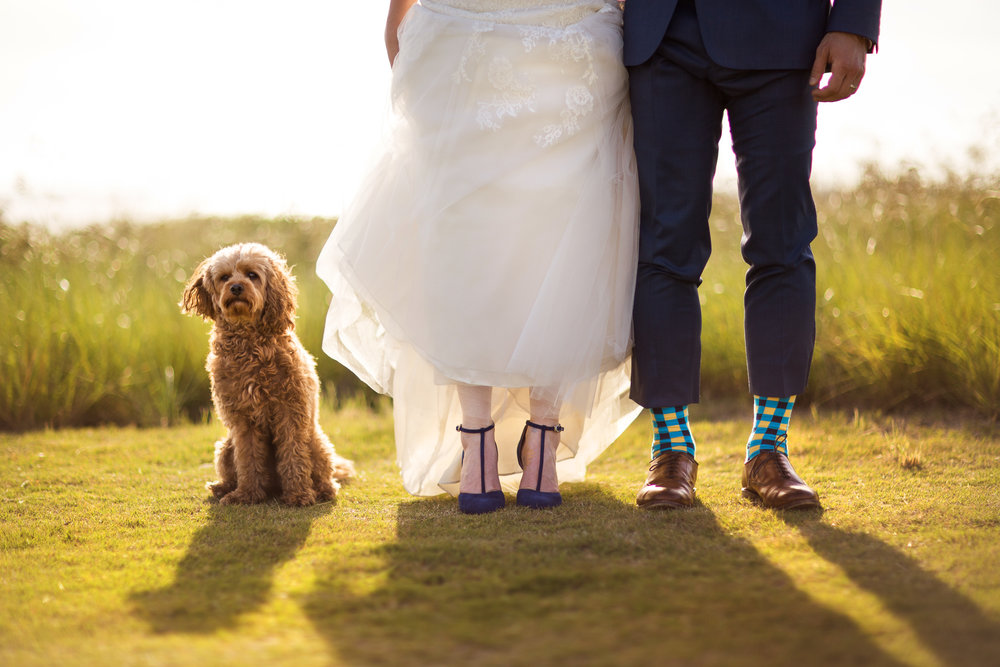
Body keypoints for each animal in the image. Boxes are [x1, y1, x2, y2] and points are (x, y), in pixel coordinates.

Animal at [182, 244, 354, 506]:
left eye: (252, 275)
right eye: (224, 277)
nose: (236, 287)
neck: (248, 342)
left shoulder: (290, 410)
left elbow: (294, 455)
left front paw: (299, 495)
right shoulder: (243, 418)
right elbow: (248, 458)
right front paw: (247, 494)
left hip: (317, 442)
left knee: (325, 475)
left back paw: (323, 490)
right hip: (225, 447)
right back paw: (223, 488)